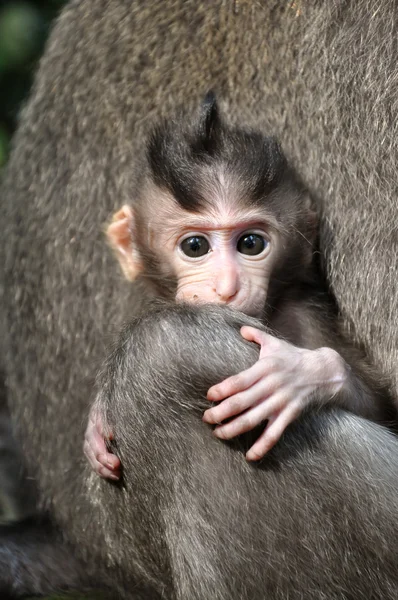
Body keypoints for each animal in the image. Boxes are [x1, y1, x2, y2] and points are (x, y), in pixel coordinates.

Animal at [84, 91, 388, 480]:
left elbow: (381, 405)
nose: (227, 287)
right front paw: (93, 429)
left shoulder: (304, 314)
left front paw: (297, 374)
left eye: (251, 243)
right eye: (194, 246)